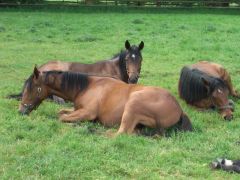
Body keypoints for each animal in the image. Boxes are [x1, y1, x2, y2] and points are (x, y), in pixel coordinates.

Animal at [18, 67, 193, 136]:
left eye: (31, 88)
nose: (21, 111)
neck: (87, 87)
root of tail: (179, 109)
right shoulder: (77, 109)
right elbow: (61, 112)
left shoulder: (87, 113)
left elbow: (61, 117)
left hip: (133, 103)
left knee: (120, 133)